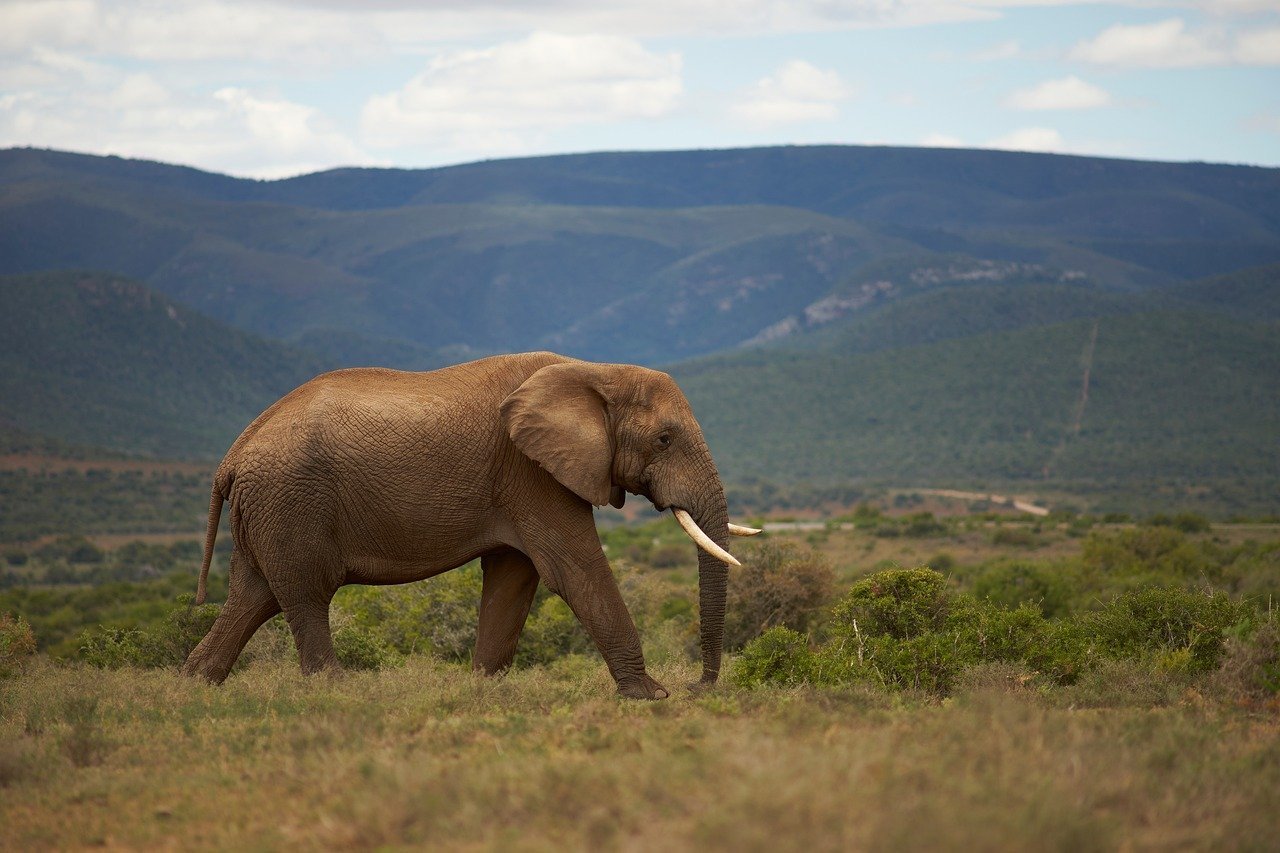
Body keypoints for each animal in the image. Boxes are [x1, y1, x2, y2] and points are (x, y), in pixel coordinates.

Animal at [181, 351, 758, 699]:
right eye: (664, 439)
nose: (698, 688)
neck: (594, 370)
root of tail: (233, 455)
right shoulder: (531, 473)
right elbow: (574, 569)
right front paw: (650, 697)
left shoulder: (519, 483)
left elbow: (513, 578)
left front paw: (482, 691)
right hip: (291, 502)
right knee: (304, 594)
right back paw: (337, 692)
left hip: (268, 510)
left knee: (255, 596)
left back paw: (192, 685)